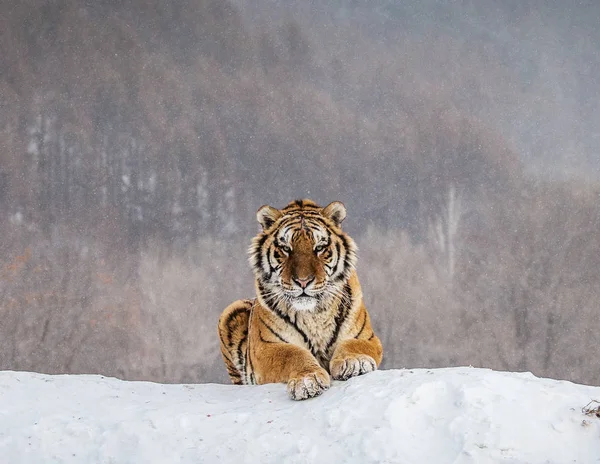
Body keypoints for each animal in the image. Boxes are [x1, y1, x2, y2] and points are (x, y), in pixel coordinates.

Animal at [218, 199, 382, 398]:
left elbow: (352, 344)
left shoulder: (367, 337)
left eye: (319, 248)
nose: (303, 281)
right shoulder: (266, 347)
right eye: (285, 249)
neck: (314, 313)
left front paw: (354, 363)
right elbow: (293, 354)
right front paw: (308, 380)